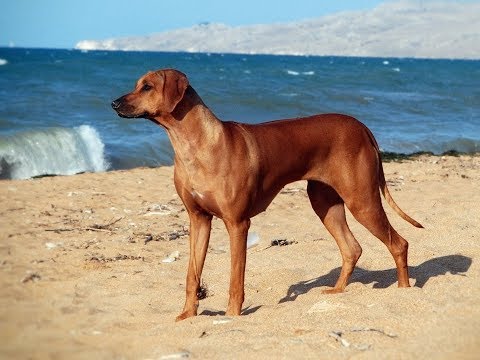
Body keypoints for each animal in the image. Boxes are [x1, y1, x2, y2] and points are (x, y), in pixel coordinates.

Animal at [110, 67, 422, 320]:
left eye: (147, 87)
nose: (113, 103)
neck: (194, 145)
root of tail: (362, 126)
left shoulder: (237, 223)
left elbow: (236, 278)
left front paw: (232, 317)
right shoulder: (198, 221)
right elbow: (192, 274)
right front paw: (187, 315)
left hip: (362, 200)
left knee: (399, 243)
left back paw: (404, 291)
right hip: (324, 203)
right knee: (352, 248)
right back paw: (336, 292)